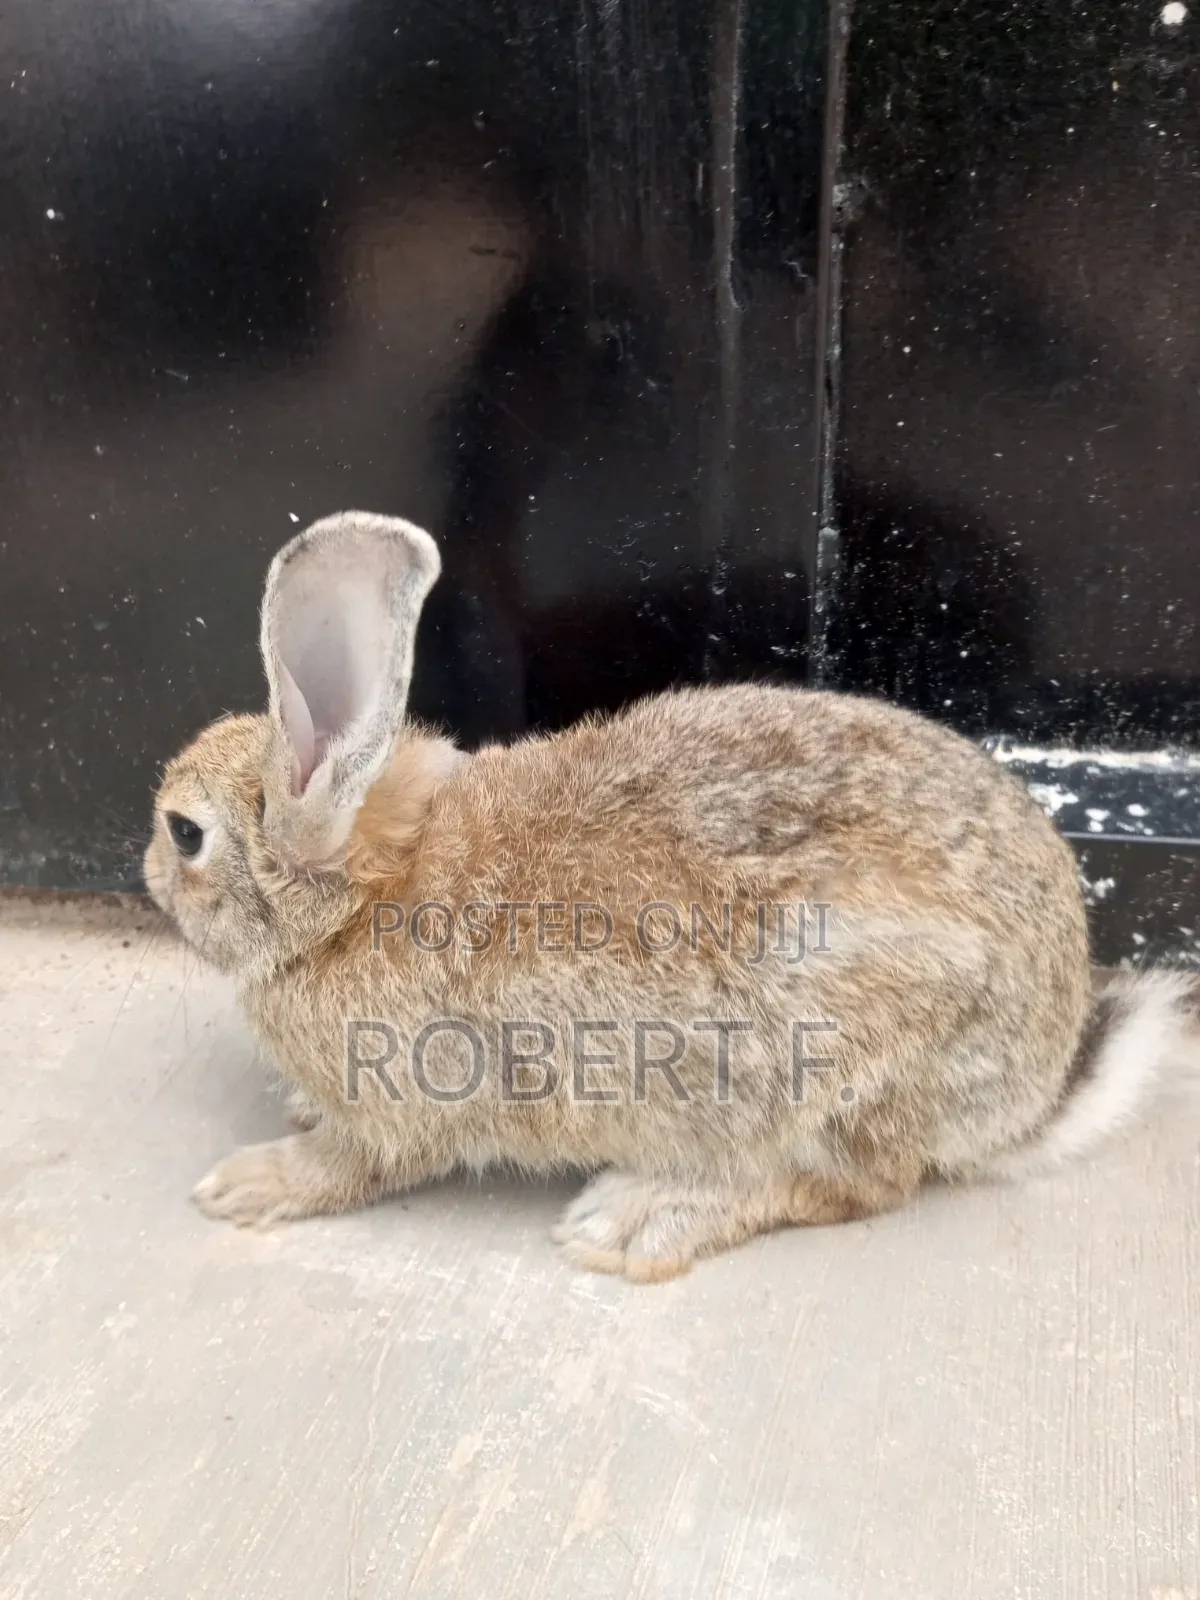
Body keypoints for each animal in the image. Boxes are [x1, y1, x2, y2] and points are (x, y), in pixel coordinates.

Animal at [143, 511, 1199, 1282]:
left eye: (185, 833)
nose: (147, 869)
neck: (358, 902)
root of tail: (1034, 1091)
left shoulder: (405, 1096)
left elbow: (354, 1165)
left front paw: (246, 1185)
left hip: (841, 1053)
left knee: (858, 1185)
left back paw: (636, 1219)